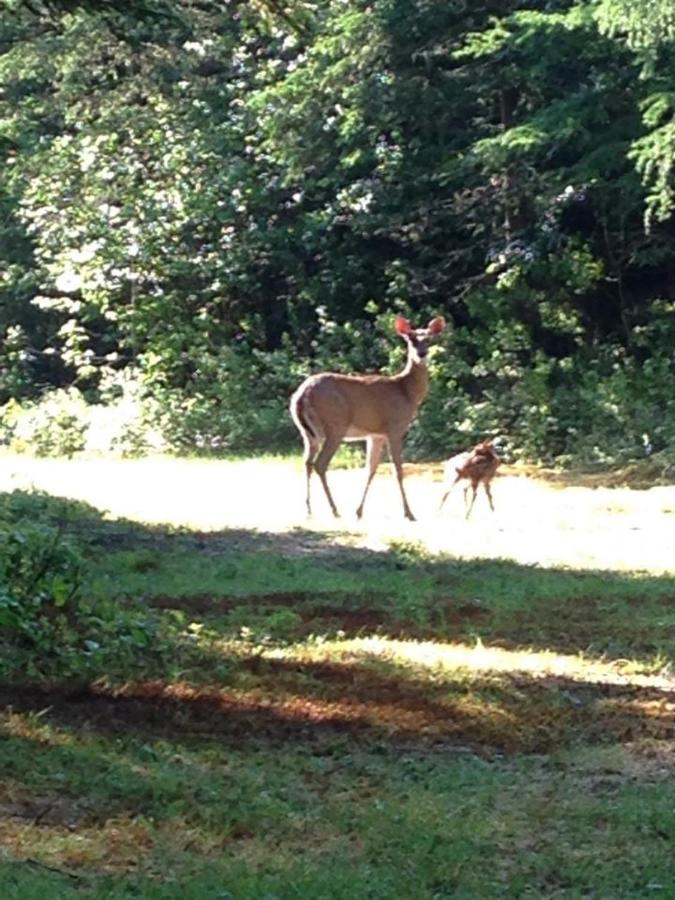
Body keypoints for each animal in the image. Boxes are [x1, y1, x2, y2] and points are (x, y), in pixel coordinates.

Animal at [290, 315, 446, 521]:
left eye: (429, 339)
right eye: (411, 339)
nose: (421, 353)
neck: (406, 392)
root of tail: (301, 395)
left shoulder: (375, 434)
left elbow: (370, 469)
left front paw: (359, 511)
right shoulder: (395, 427)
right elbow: (398, 470)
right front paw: (409, 513)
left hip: (308, 433)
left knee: (307, 462)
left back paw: (308, 509)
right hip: (335, 425)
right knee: (320, 464)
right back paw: (334, 510)